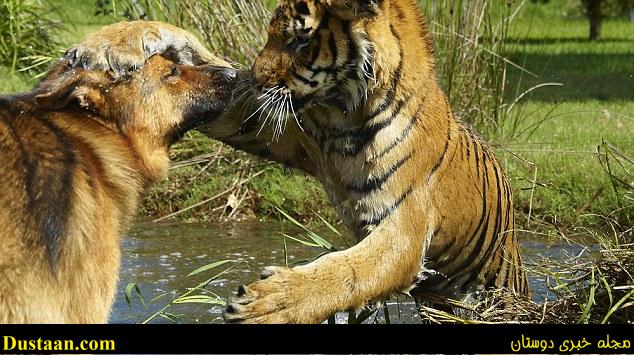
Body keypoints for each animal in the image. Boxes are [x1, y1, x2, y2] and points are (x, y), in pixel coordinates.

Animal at [66, 0, 524, 324]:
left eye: (300, 42)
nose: (254, 77)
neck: (345, 117)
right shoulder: (260, 118)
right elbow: (198, 54)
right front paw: (106, 45)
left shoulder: (403, 229)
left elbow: (348, 272)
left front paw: (268, 303)